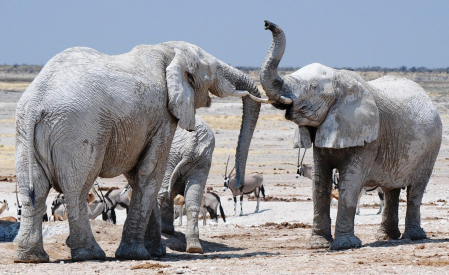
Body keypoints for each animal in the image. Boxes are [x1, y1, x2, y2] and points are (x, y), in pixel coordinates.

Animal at [144, 116, 213, 256]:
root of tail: (191, 145)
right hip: (202, 161)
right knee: (192, 199)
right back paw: (194, 248)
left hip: (171, 154)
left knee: (161, 193)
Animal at [260, 20, 440, 251]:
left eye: (313, 87)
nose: (266, 24)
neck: (340, 78)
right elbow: (319, 181)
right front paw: (317, 245)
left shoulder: (368, 136)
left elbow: (351, 181)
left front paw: (345, 245)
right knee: (391, 189)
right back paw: (386, 237)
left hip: (431, 148)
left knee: (416, 189)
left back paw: (413, 237)